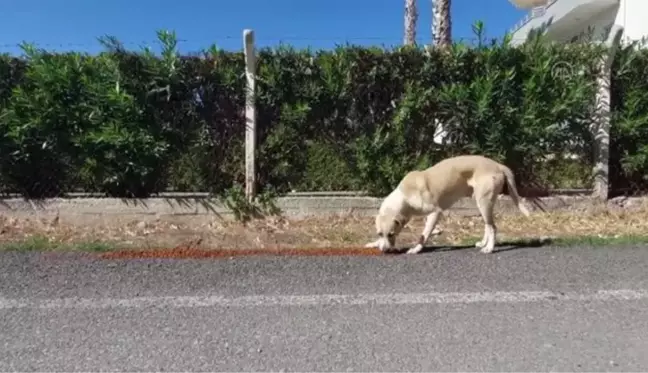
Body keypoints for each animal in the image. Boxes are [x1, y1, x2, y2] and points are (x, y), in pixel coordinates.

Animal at [364, 153, 532, 253]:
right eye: (380, 233)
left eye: (391, 234)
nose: (384, 250)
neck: (404, 196)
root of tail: (498, 164)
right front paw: (374, 244)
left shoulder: (435, 212)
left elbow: (424, 234)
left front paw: (416, 249)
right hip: (482, 202)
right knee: (488, 225)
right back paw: (483, 243)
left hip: (483, 202)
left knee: (493, 227)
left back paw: (489, 248)